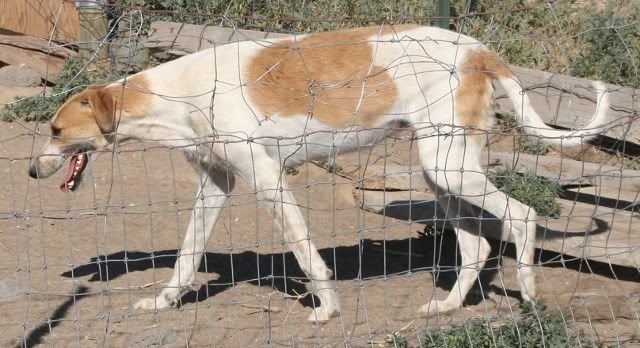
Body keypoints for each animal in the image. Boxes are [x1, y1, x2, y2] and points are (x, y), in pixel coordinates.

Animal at [31, 25, 608, 324]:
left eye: (56, 130)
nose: (35, 170)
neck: (179, 94)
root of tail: (479, 49)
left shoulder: (269, 180)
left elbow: (306, 252)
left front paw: (327, 308)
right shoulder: (216, 186)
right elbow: (185, 256)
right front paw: (164, 301)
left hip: (450, 168)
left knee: (524, 216)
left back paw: (530, 301)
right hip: (442, 173)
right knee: (477, 246)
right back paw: (446, 306)